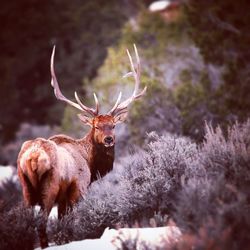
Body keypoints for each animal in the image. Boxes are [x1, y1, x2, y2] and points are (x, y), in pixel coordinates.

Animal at [17, 44, 146, 248]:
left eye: (113, 125)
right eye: (96, 126)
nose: (109, 139)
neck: (91, 165)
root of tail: (32, 157)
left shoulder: (64, 197)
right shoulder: (79, 188)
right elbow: (69, 222)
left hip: (26, 189)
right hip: (49, 189)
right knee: (41, 223)